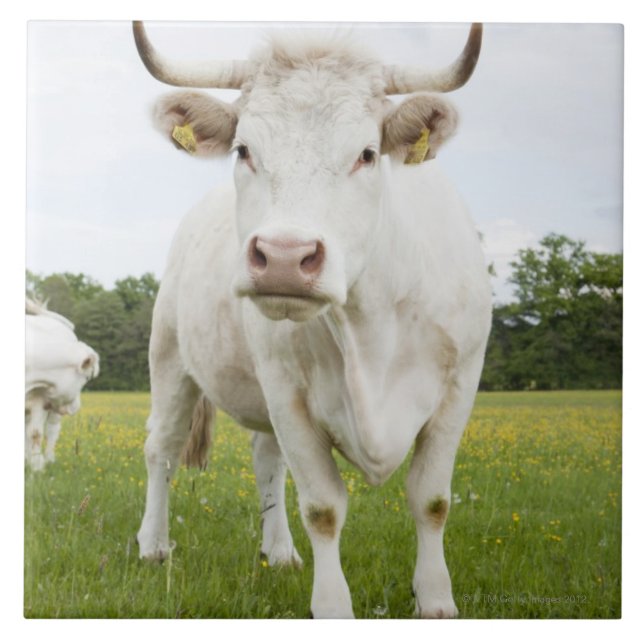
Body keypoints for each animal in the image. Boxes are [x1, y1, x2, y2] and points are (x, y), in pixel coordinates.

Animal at [25, 299, 100, 470]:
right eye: (86, 378)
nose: (76, 407)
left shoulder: (39, 401)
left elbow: (36, 433)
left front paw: (37, 467)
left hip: (54, 411)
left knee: (51, 430)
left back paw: (48, 459)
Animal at [132, 21, 492, 618]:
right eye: (244, 150)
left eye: (367, 153)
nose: (283, 256)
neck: (371, 328)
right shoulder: (287, 392)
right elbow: (323, 508)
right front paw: (333, 607)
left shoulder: (460, 385)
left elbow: (432, 500)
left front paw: (436, 599)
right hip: (169, 358)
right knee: (162, 447)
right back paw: (153, 545)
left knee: (266, 460)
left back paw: (278, 552)